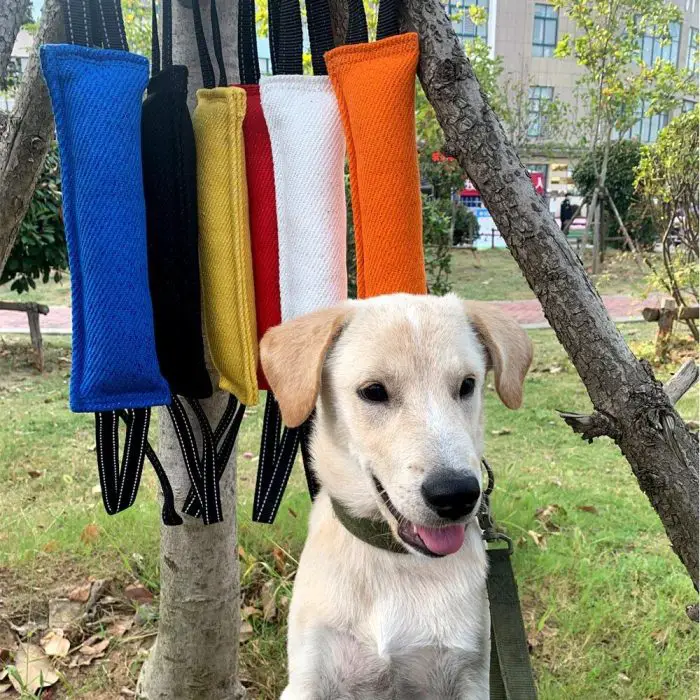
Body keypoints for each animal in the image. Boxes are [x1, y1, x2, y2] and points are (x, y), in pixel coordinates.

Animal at [262, 294, 532, 700]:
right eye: (374, 391)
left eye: (467, 385)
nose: (457, 495)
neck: (395, 563)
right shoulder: (308, 680)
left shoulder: (469, 676)